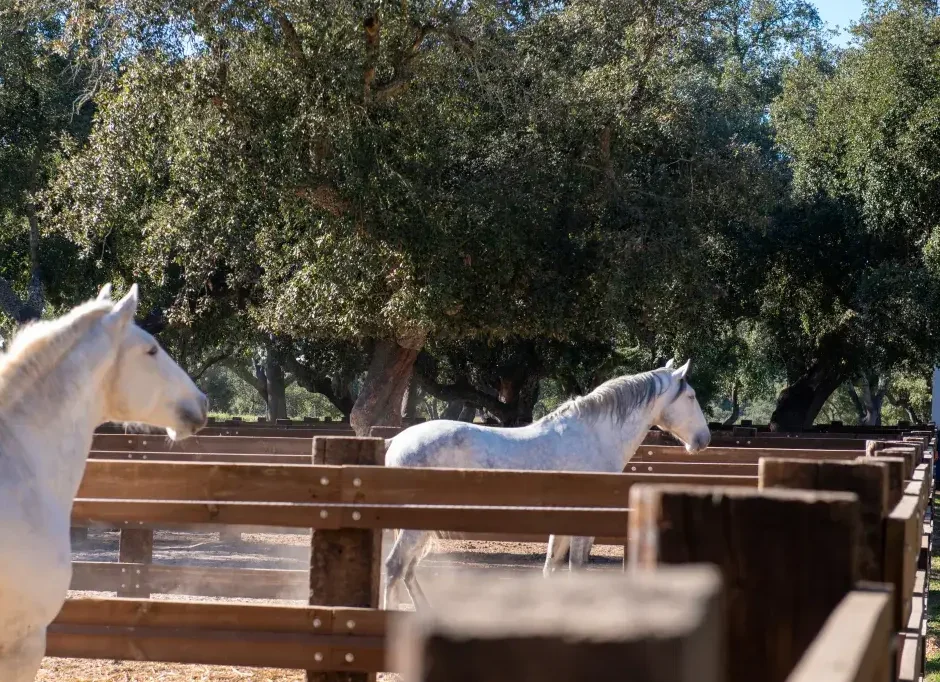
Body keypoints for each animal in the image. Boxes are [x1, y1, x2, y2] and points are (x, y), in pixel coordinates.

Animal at [381, 359, 711, 611]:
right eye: (691, 396)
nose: (704, 439)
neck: (593, 437)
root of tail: (396, 440)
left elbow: (551, 568)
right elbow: (576, 567)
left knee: (408, 570)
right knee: (395, 567)